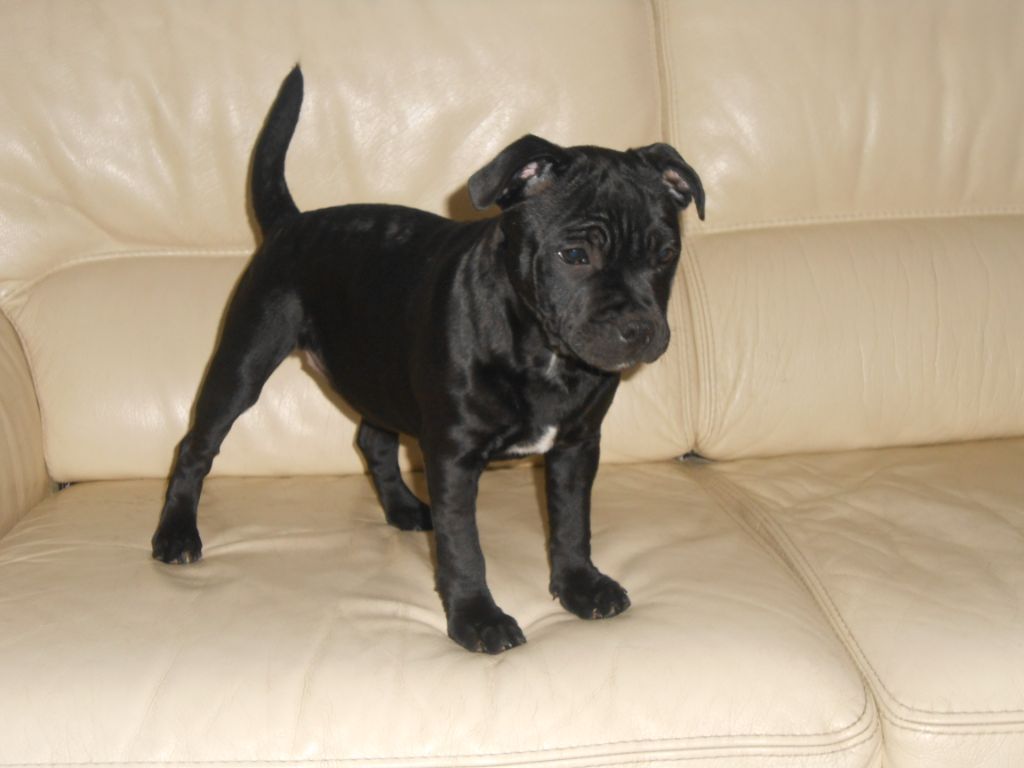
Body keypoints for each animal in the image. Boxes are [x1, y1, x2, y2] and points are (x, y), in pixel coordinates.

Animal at [152, 65, 704, 653]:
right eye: (574, 255)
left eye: (666, 254)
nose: (638, 328)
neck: (539, 345)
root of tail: (290, 223)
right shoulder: (454, 456)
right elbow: (464, 546)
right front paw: (477, 618)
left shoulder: (576, 448)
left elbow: (572, 523)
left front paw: (579, 585)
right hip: (243, 364)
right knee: (196, 447)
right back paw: (176, 534)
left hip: (377, 373)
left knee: (372, 441)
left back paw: (401, 508)